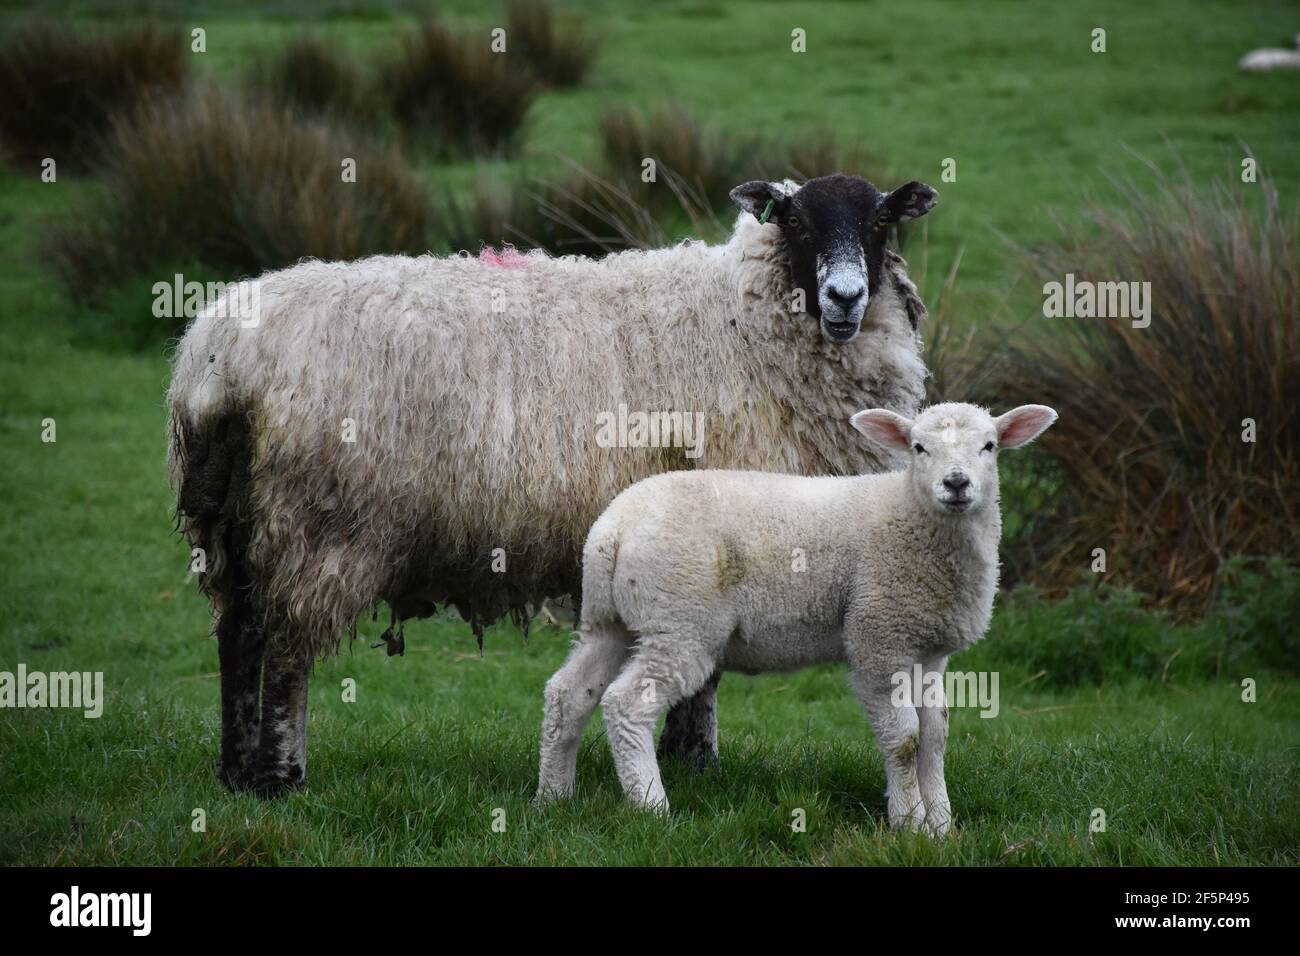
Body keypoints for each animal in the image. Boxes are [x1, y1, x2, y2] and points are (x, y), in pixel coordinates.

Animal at [168, 173, 938, 796]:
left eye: (880, 222)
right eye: (796, 221)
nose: (845, 297)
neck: (746, 321)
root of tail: (214, 358)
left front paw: (691, 761)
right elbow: (706, 668)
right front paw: (694, 759)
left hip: (233, 520)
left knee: (238, 633)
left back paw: (234, 772)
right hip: (317, 522)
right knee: (285, 650)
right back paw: (280, 777)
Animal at [536, 401, 1057, 834]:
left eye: (989, 446)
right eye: (918, 447)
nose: (956, 483)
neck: (909, 511)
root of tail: (613, 529)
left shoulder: (927, 650)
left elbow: (935, 735)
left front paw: (943, 827)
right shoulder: (878, 636)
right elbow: (905, 739)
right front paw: (910, 825)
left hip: (612, 619)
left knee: (568, 694)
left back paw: (555, 796)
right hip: (680, 620)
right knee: (627, 704)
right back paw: (651, 807)